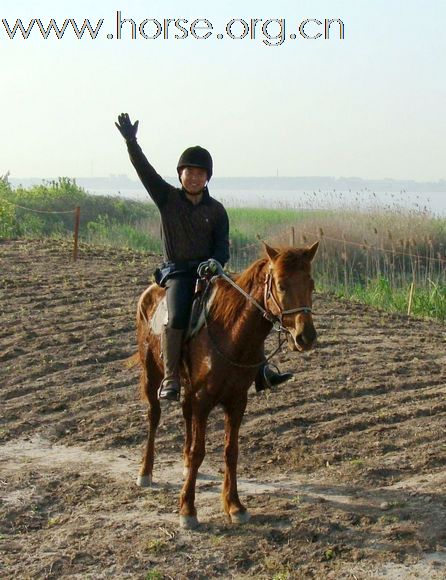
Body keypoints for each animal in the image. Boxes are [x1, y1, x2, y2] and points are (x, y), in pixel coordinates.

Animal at [134, 242, 318, 528]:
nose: (306, 336)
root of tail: (150, 292)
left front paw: (235, 505)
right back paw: (145, 472)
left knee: (185, 413)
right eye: (280, 284)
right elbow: (199, 452)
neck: (231, 333)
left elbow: (231, 451)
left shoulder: (237, 400)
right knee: (154, 416)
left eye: (311, 283)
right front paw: (188, 510)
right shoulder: (204, 399)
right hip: (151, 373)